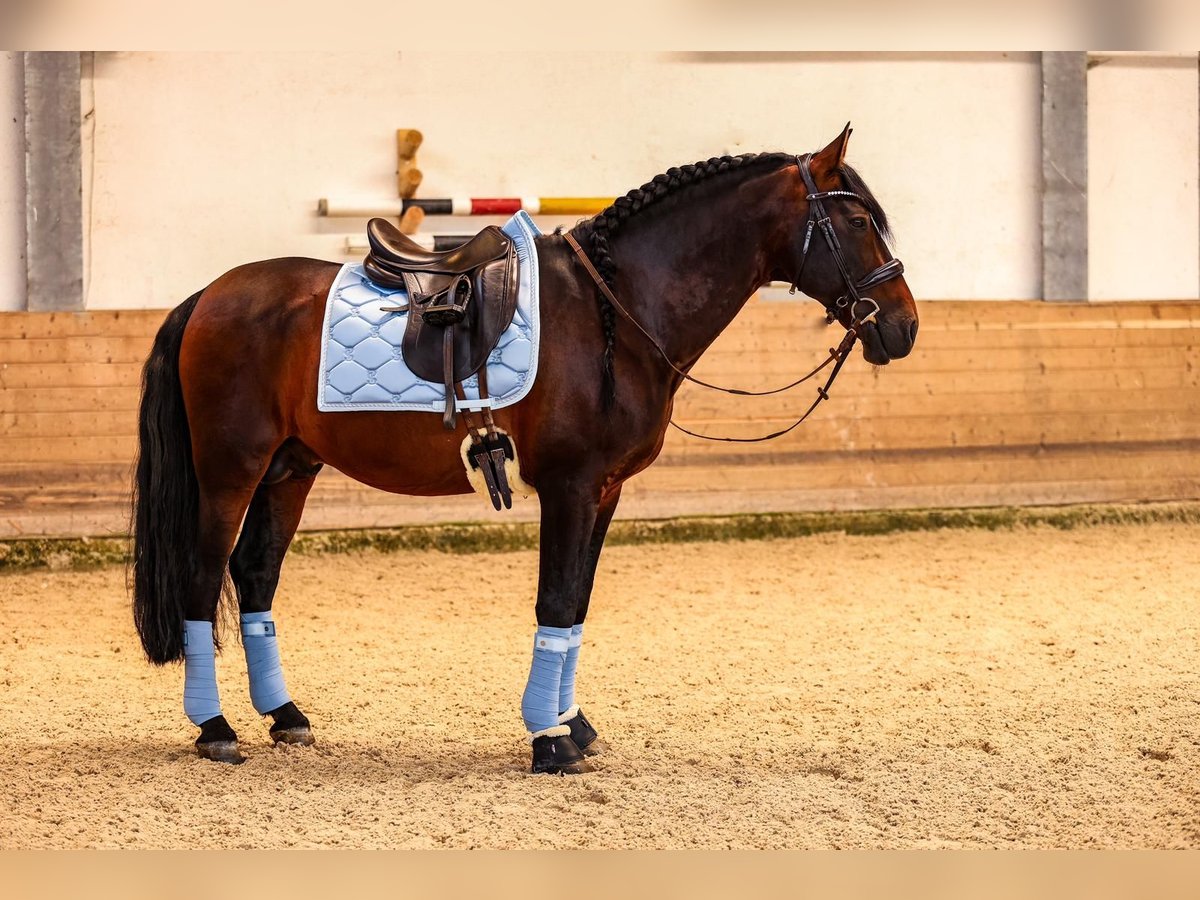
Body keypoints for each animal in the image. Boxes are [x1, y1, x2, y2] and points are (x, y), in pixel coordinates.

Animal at [131, 125, 916, 777]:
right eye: (856, 221)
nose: (903, 327)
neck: (616, 314)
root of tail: (207, 297)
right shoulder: (570, 486)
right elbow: (556, 598)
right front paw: (549, 740)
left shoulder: (605, 490)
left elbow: (577, 607)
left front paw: (572, 723)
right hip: (230, 471)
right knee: (203, 576)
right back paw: (215, 729)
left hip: (290, 468)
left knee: (255, 573)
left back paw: (285, 716)